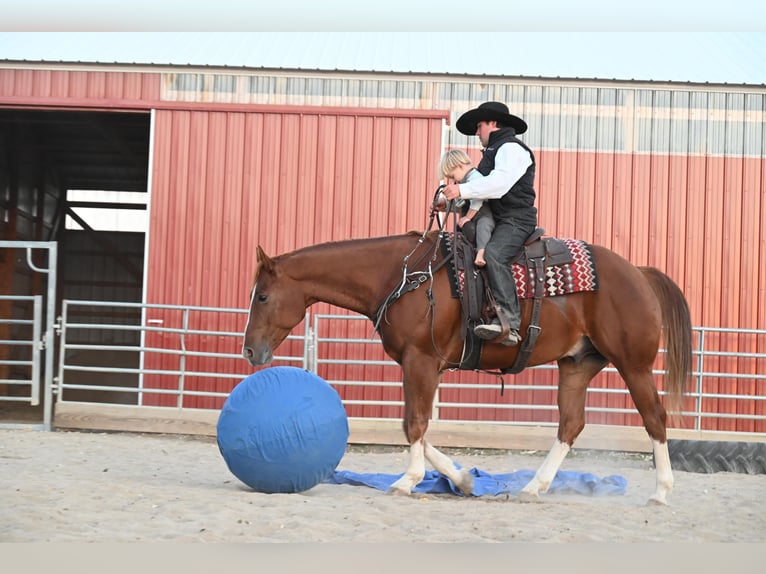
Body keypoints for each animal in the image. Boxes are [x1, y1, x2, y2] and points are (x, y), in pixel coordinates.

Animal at [242, 232, 696, 506]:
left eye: (262, 296)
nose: (250, 351)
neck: (404, 277)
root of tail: (638, 273)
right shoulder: (426, 366)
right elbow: (416, 426)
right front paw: (463, 480)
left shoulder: (420, 361)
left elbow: (414, 423)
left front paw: (408, 481)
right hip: (576, 365)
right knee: (570, 425)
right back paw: (534, 486)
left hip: (633, 365)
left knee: (654, 417)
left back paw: (662, 491)